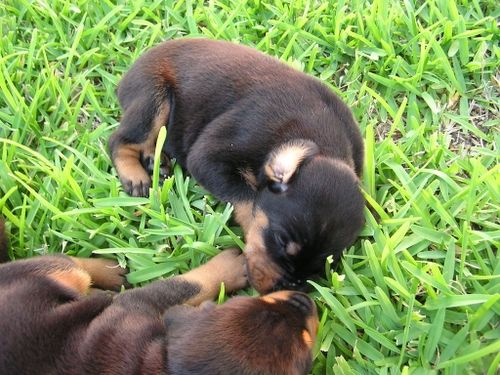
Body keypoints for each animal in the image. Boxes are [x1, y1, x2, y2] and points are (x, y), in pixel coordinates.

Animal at [0, 220, 318, 375]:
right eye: (306, 342)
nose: (304, 300)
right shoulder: (135, 305)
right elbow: (185, 284)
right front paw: (230, 267)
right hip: (58, 272)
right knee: (70, 262)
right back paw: (110, 271)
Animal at [109, 39, 366, 296]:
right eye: (280, 240)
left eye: (326, 262)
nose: (288, 287)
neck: (322, 146)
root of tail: (129, 73)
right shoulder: (209, 157)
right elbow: (248, 201)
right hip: (153, 99)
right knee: (121, 140)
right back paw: (135, 176)